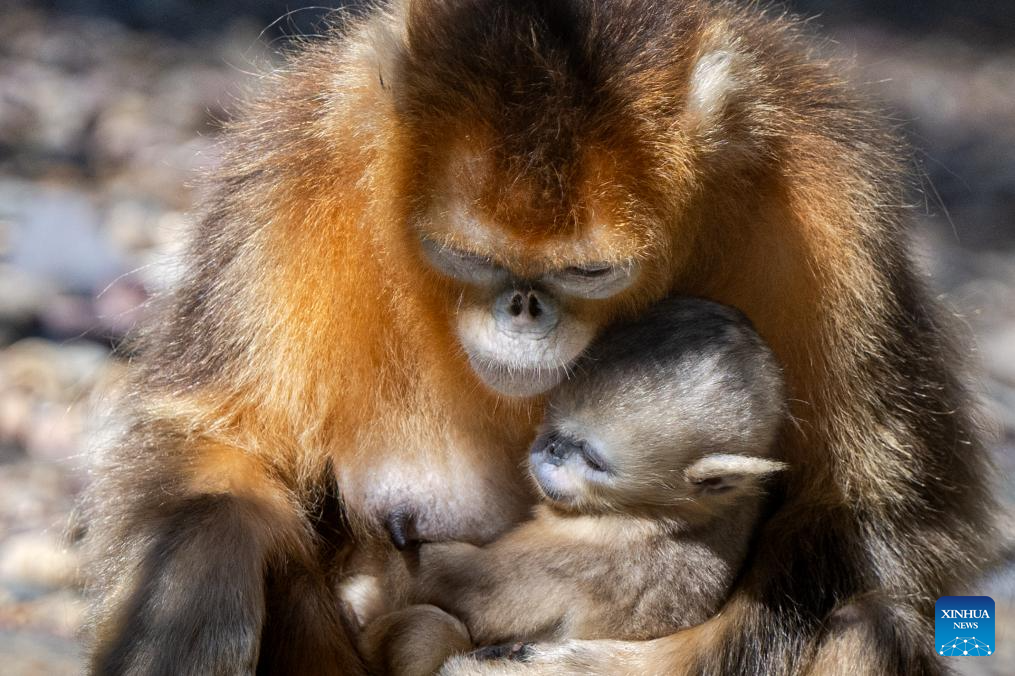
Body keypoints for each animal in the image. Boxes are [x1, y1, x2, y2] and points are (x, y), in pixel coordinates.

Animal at [349, 298, 783, 669]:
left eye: (592, 460)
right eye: (556, 420)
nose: (552, 448)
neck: (665, 516)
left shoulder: (583, 555)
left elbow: (457, 588)